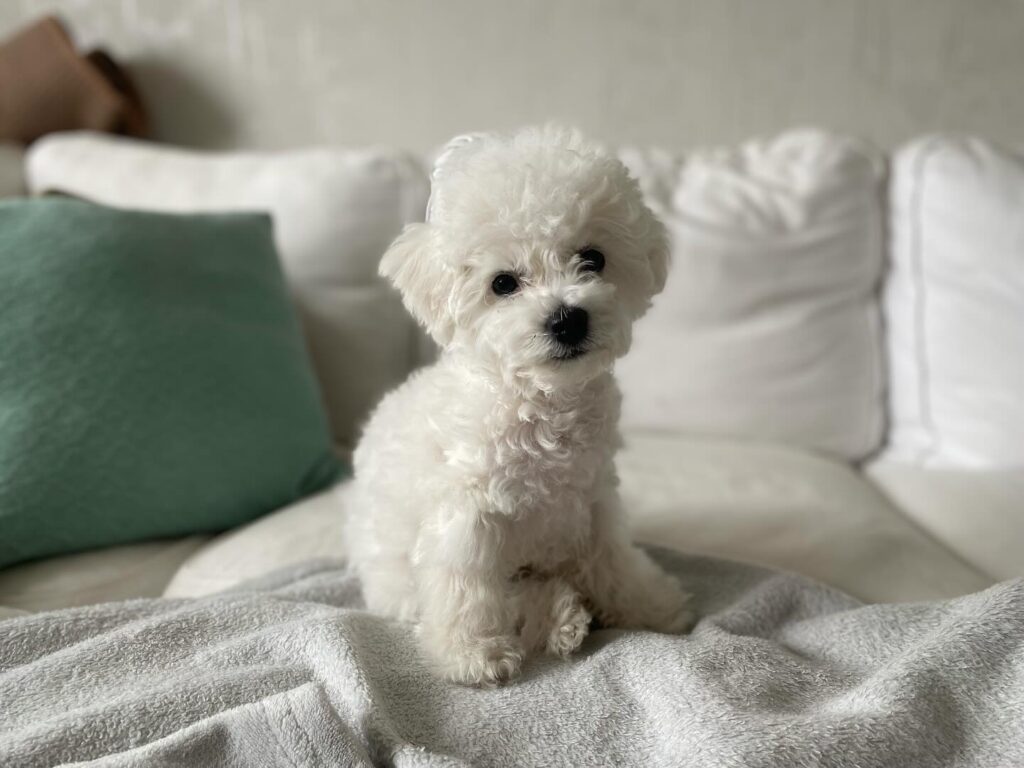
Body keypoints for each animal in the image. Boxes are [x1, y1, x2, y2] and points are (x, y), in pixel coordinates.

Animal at [345, 125, 692, 686]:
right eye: (503, 283)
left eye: (592, 259)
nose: (568, 319)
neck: (540, 401)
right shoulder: (466, 511)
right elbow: (465, 582)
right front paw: (473, 653)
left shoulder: (593, 497)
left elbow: (612, 557)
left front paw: (650, 604)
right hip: (396, 581)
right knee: (503, 594)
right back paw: (558, 617)